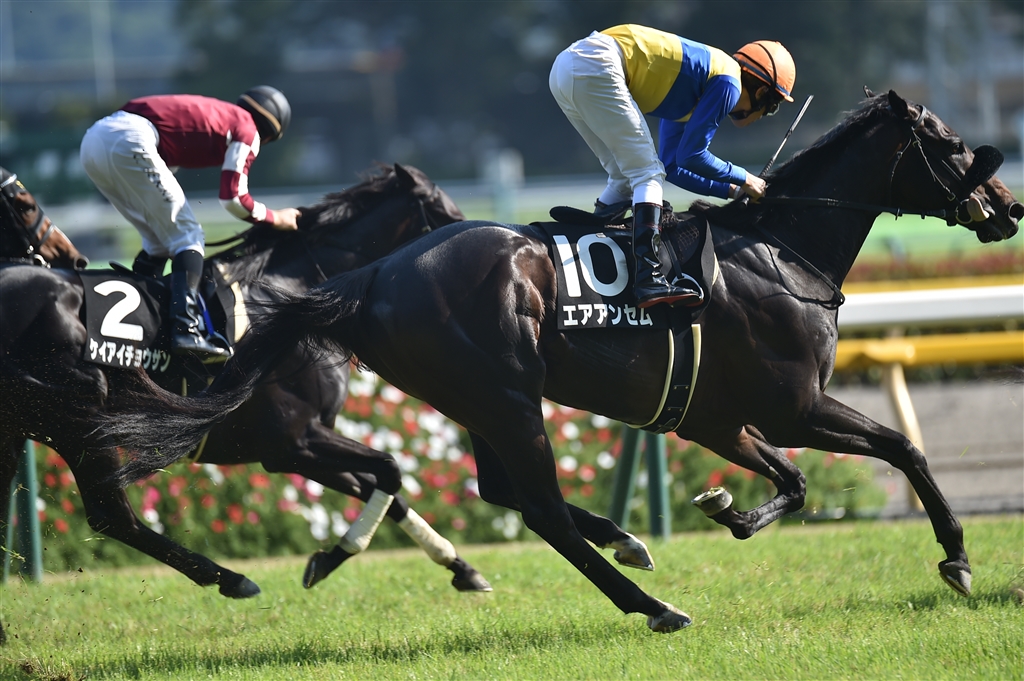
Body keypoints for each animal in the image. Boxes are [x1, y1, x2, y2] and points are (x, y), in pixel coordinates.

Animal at [0, 163, 498, 645]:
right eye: (445, 211)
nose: (486, 248)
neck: (289, 293)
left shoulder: (290, 452)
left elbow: (382, 489)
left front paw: (461, 568)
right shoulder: (295, 440)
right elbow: (390, 470)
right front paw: (331, 558)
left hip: (23, 429)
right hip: (79, 418)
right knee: (113, 516)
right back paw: (232, 578)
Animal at [97, 90, 1021, 633]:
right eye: (951, 142)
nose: (1006, 207)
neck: (781, 248)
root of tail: (370, 276)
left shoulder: (718, 416)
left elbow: (790, 483)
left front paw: (727, 508)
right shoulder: (795, 403)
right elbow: (905, 448)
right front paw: (958, 558)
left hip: (475, 399)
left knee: (501, 489)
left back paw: (626, 546)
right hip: (506, 395)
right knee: (537, 505)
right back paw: (651, 603)